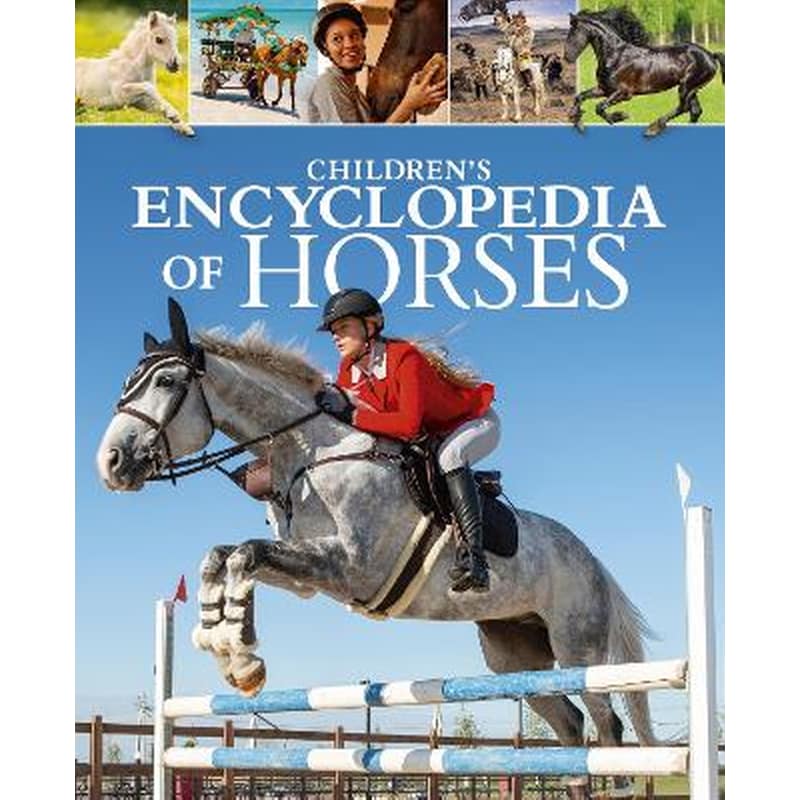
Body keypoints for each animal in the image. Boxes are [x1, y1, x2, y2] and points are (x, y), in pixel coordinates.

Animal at [97, 299, 658, 800]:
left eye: (166, 383)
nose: (110, 463)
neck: (312, 453)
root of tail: (594, 561)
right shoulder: (307, 575)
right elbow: (222, 555)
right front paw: (223, 643)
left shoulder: (352, 566)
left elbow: (244, 554)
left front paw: (242, 657)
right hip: (516, 657)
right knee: (570, 722)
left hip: (578, 646)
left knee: (607, 724)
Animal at [563, 8, 725, 137]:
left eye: (573, 32)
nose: (567, 57)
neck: (616, 56)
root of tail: (711, 55)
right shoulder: (604, 89)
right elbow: (580, 97)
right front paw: (578, 122)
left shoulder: (624, 93)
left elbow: (599, 107)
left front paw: (620, 116)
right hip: (692, 88)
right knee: (695, 111)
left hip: (686, 87)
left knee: (684, 108)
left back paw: (653, 128)